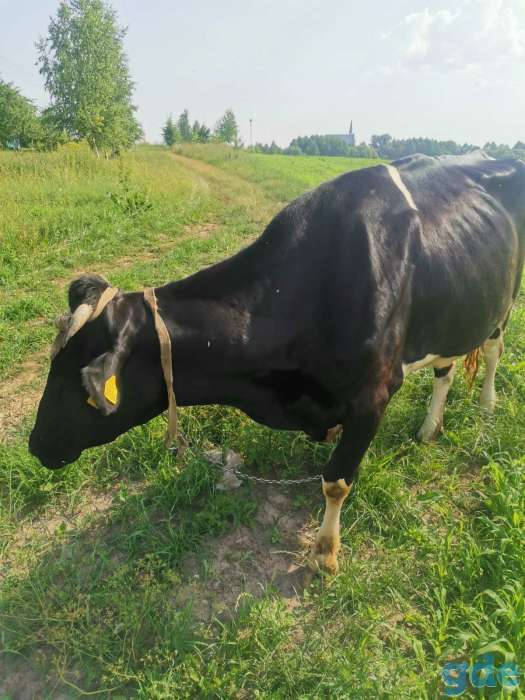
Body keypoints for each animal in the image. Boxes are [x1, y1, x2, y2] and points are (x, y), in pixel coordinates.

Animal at [29, 152, 525, 573]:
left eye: (72, 382)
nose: (35, 446)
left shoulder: (376, 392)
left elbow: (336, 481)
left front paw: (325, 554)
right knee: (445, 367)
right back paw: (429, 429)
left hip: (503, 303)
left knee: (493, 351)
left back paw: (486, 406)